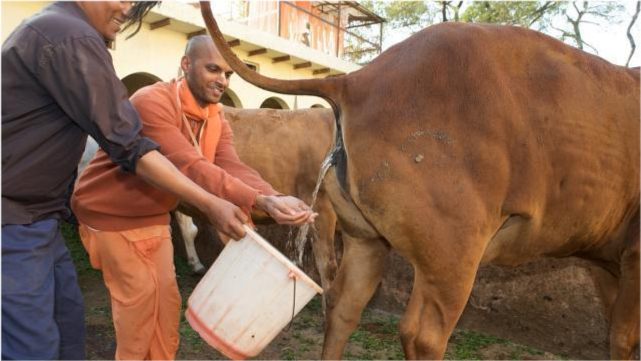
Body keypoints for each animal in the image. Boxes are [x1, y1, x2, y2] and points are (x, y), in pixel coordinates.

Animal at [198, 2, 640, 358]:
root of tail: (354, 81)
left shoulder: (605, 260)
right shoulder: (634, 252)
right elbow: (624, 339)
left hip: (366, 238)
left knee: (342, 305)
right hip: (453, 254)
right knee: (422, 335)